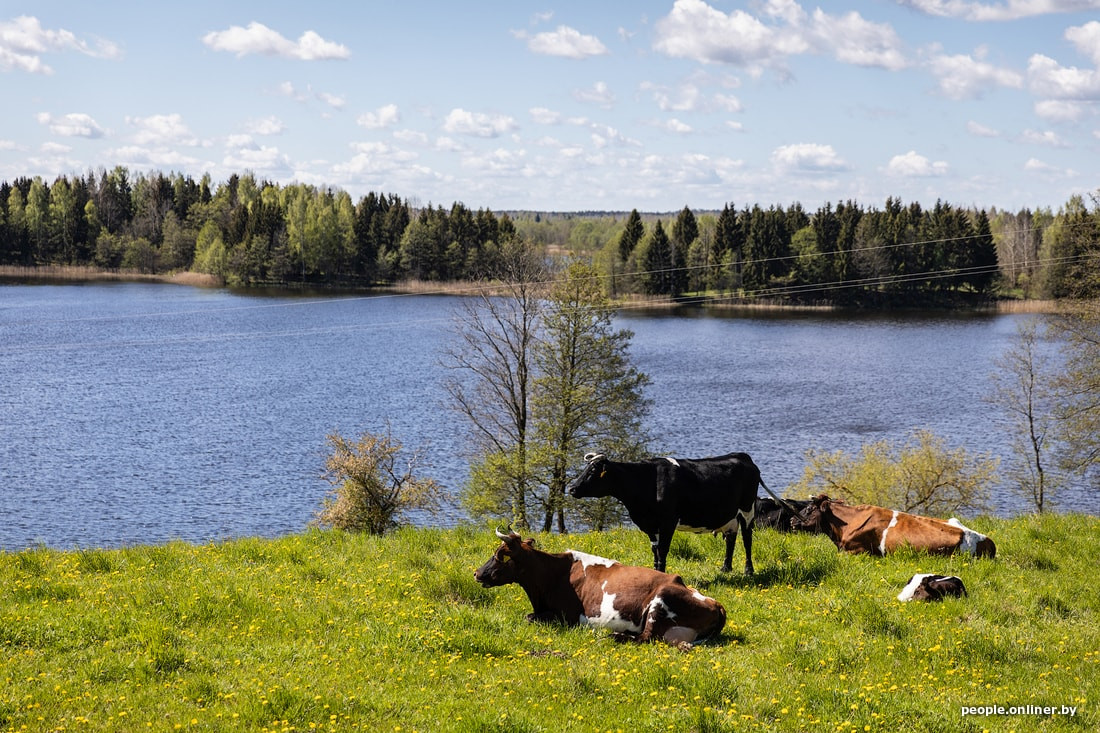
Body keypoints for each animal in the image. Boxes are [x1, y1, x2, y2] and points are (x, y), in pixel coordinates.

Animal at [475, 528, 726, 647]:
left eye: (499, 555)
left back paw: (614, 635)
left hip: (661, 600)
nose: (477, 573)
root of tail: (717, 603)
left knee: (645, 637)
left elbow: (528, 617)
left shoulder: (568, 616)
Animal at [567, 449, 792, 572]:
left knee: (747, 538)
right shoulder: (650, 524)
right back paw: (726, 568)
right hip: (730, 514)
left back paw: (748, 571)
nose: (572, 488)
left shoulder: (668, 521)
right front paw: (655, 572)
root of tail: (743, 457)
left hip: (747, 508)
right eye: (585, 469)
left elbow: (663, 550)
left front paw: (662, 573)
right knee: (731, 537)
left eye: (593, 470)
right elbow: (655, 550)